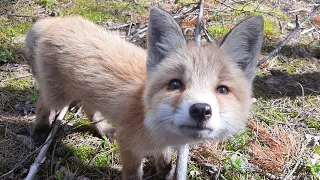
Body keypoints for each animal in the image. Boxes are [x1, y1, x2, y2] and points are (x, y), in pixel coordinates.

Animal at [25, 7, 264, 180]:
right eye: (175, 84)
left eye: (222, 89)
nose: (200, 110)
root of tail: (57, 20)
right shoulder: (129, 145)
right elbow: (133, 174)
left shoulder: (162, 146)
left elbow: (165, 163)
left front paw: (164, 174)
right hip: (57, 95)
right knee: (43, 103)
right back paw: (40, 132)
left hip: (86, 92)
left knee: (89, 109)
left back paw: (103, 129)